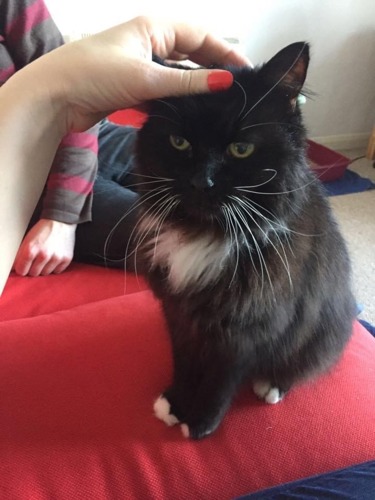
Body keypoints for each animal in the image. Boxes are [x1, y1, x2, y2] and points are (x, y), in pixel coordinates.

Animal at [133, 43, 358, 440]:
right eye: (180, 142)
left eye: (240, 149)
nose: (201, 182)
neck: (211, 234)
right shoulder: (179, 315)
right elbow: (185, 363)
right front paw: (175, 404)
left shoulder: (246, 330)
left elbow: (219, 380)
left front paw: (200, 422)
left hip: (319, 333)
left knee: (301, 365)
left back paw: (271, 386)